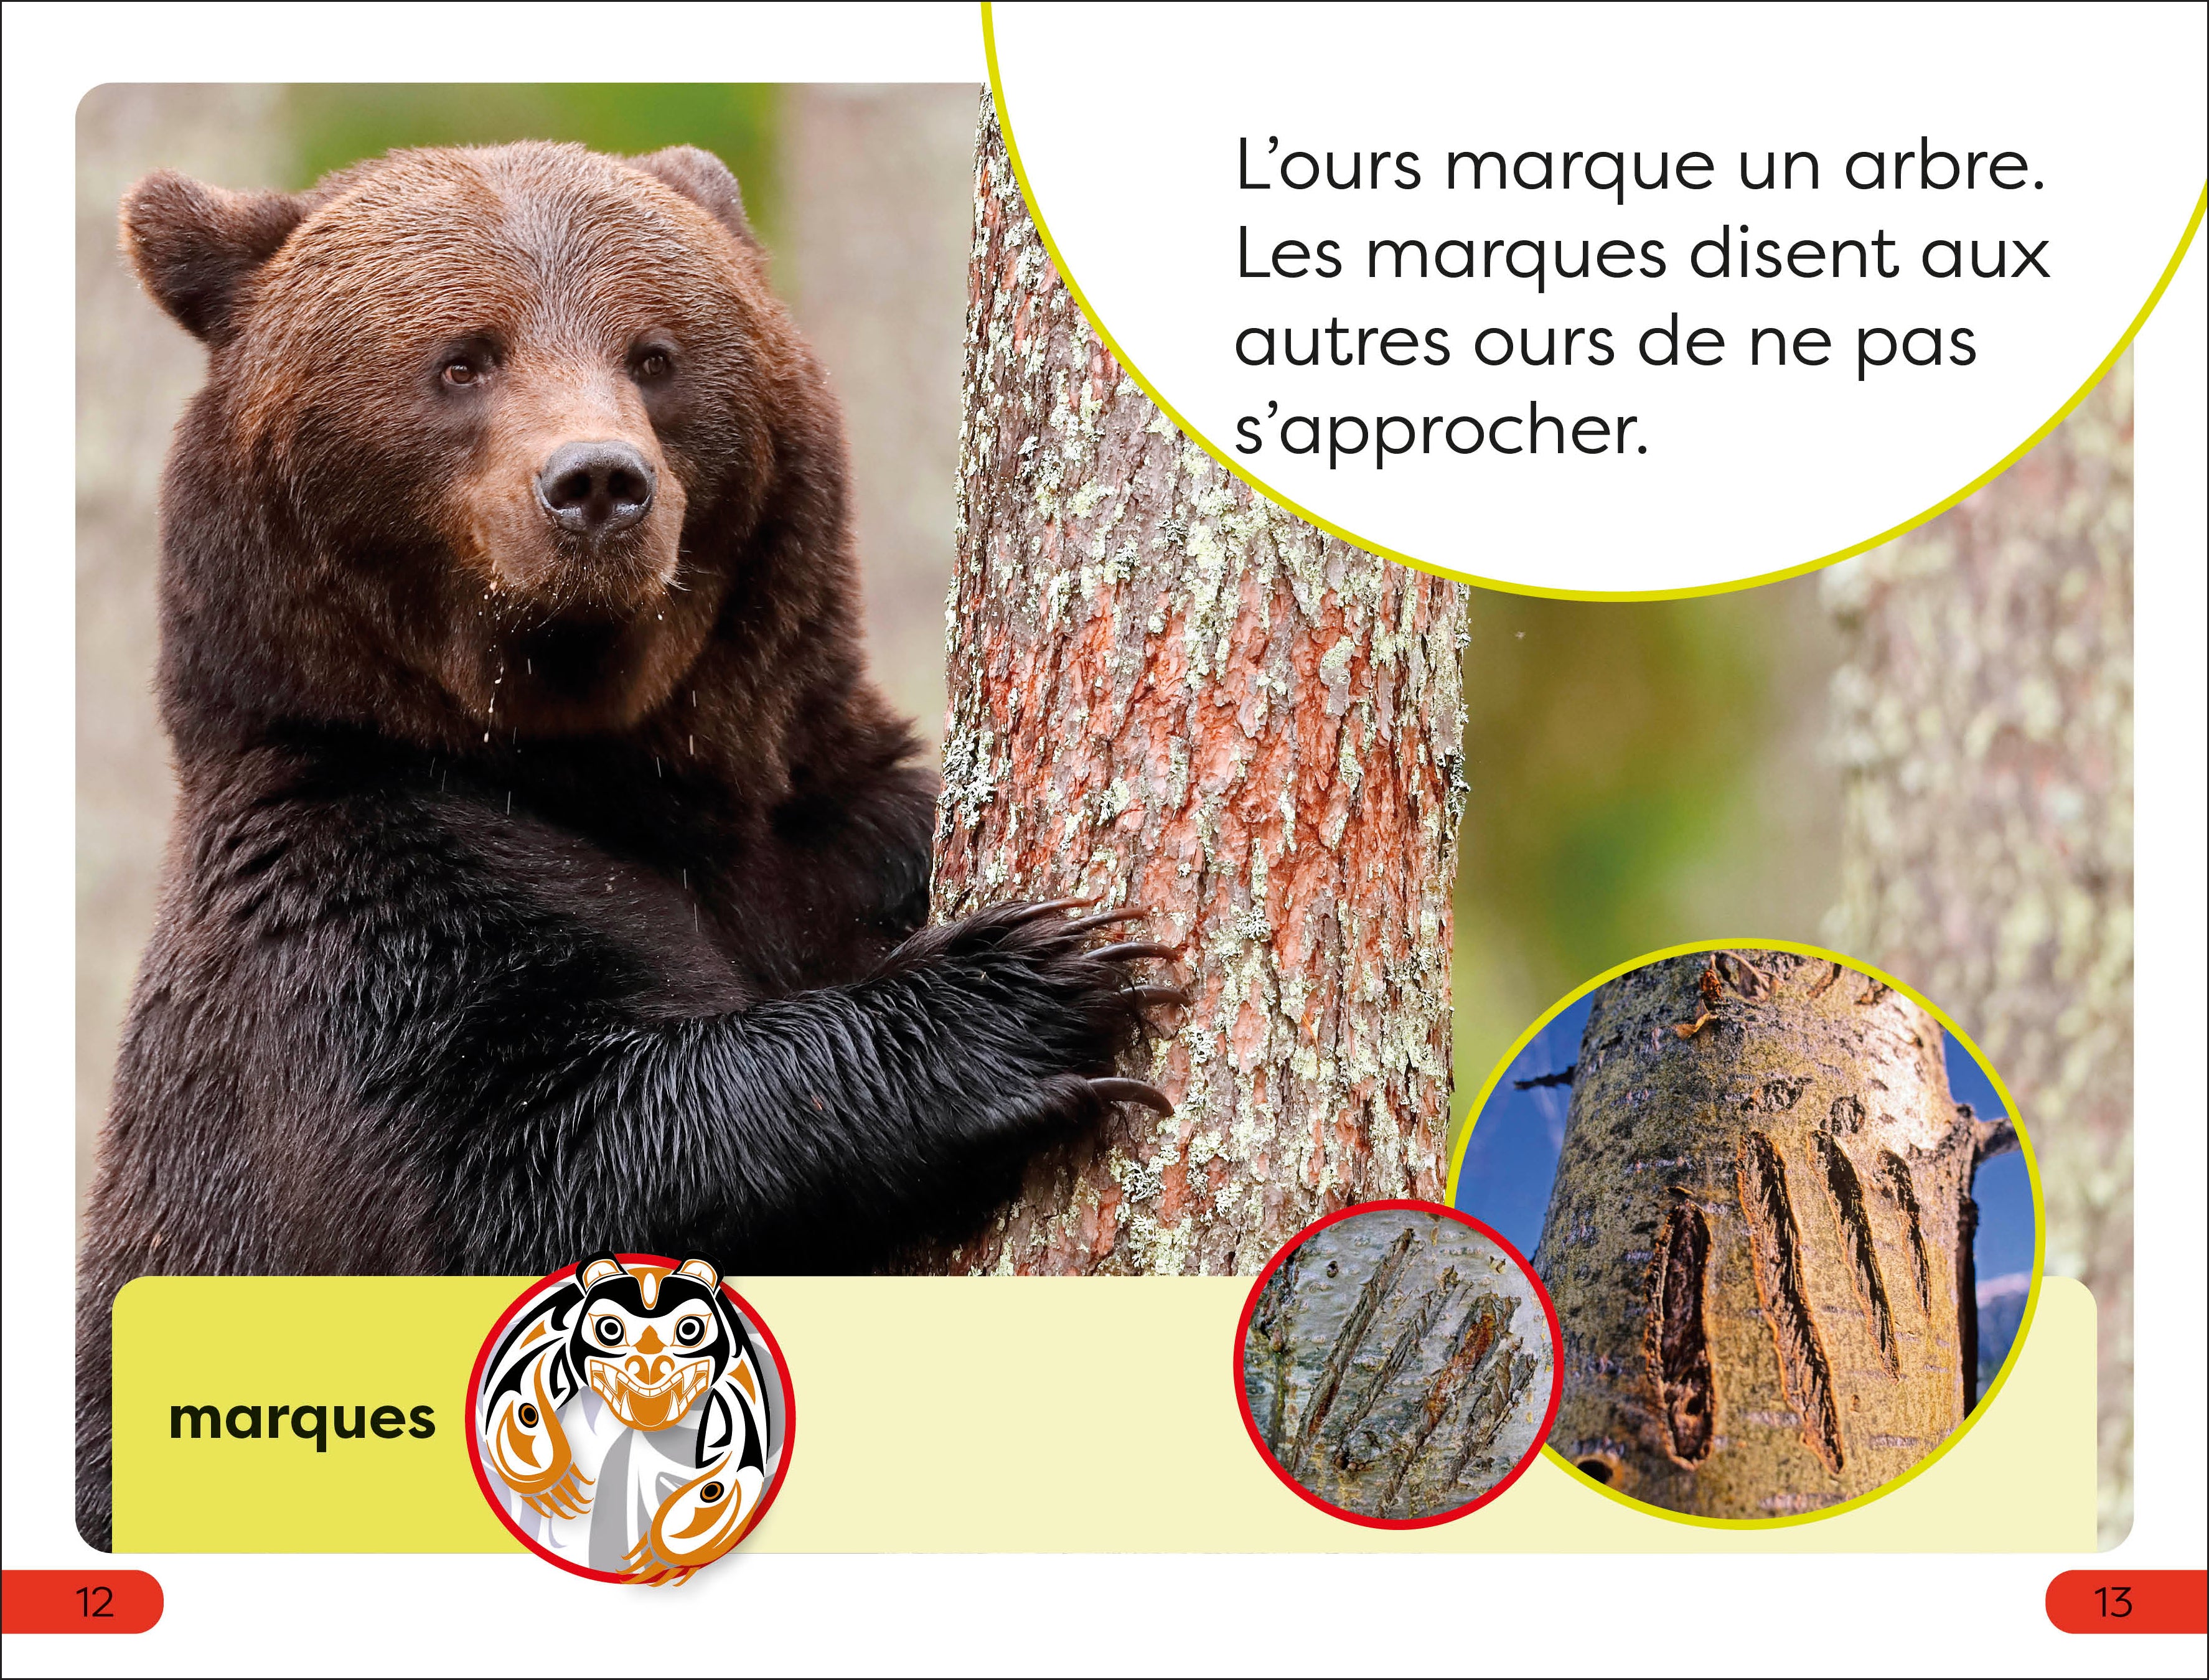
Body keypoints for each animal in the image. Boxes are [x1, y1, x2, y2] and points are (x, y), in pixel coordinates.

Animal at [76, 141, 1180, 1549]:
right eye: (463, 358)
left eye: (652, 353)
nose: (597, 481)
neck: (604, 774)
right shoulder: (352, 924)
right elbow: (525, 1169)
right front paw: (1035, 985)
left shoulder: (832, 833)